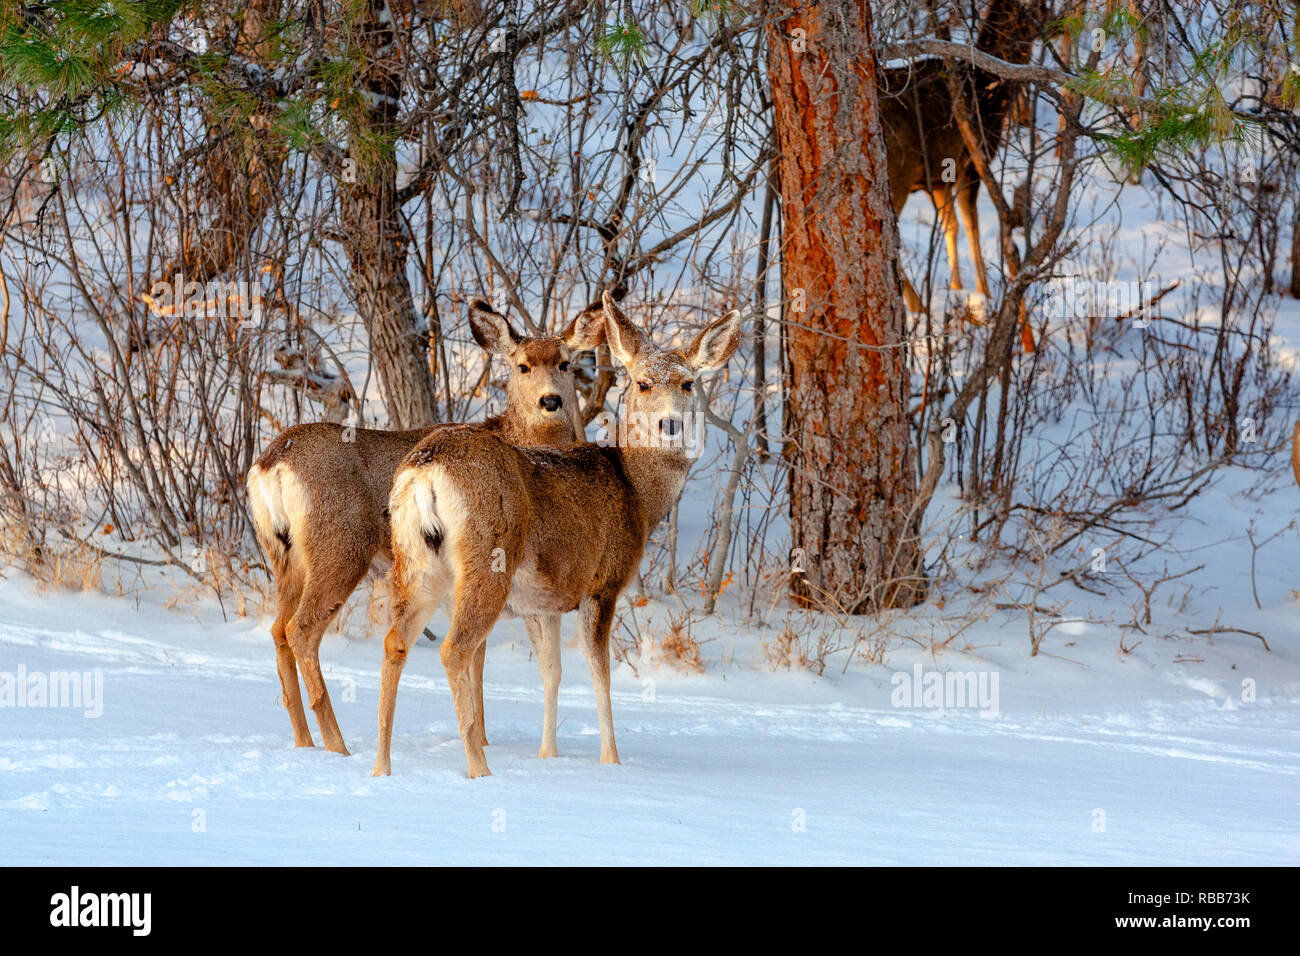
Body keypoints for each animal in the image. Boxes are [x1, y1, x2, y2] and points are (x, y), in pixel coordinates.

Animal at [246, 298, 592, 757]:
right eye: (522, 366)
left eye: (566, 362)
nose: (550, 400)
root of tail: (271, 465)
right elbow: (475, 653)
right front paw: (481, 737)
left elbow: (476, 654)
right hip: (340, 546)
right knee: (300, 630)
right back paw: (338, 744)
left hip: (283, 557)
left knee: (277, 630)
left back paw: (305, 742)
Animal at [373, 293, 742, 777]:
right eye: (643, 384)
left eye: (686, 383)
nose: (670, 425)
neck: (636, 491)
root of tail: (425, 468)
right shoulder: (602, 584)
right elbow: (599, 674)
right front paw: (611, 759)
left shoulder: (543, 601)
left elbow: (552, 673)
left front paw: (548, 754)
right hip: (488, 559)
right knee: (455, 649)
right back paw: (479, 768)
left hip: (415, 560)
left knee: (395, 641)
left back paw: (381, 767)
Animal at [879, 0, 1046, 351]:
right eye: (1040, 7)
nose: (1056, 26)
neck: (985, 91)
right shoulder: (971, 164)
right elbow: (972, 226)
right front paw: (983, 294)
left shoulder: (938, 179)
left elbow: (950, 226)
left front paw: (956, 290)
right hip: (898, 171)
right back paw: (916, 306)